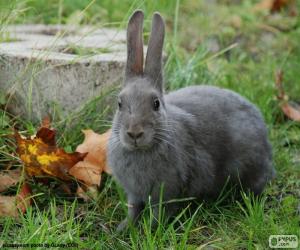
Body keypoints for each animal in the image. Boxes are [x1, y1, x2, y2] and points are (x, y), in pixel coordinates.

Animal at [106, 10, 276, 230]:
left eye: (156, 103)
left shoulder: (167, 193)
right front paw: (123, 228)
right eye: (119, 103)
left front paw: (148, 230)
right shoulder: (134, 194)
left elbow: (158, 214)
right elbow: (133, 209)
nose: (134, 133)